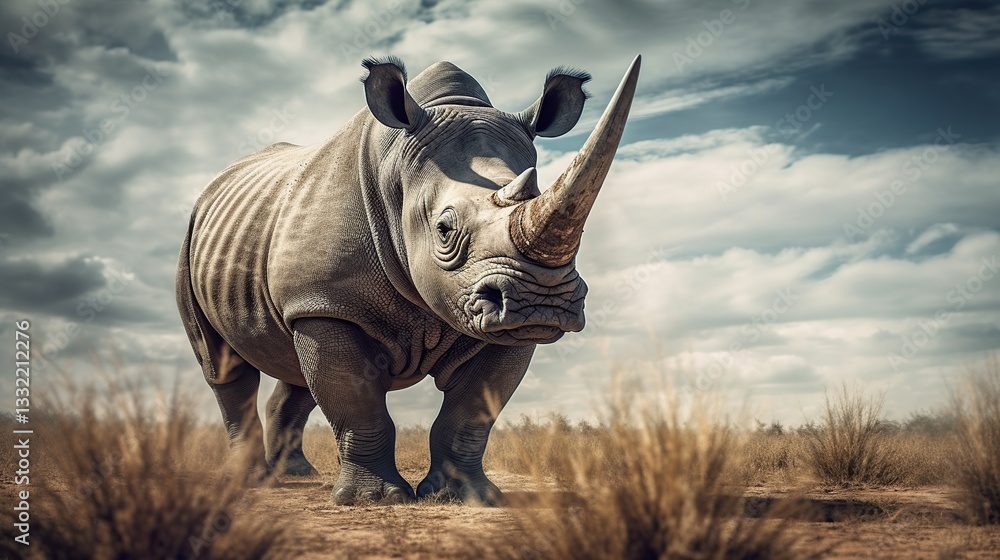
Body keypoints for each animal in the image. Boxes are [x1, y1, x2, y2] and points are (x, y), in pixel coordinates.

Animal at [175, 55, 641, 505]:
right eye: (444, 229)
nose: (542, 302)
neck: (398, 172)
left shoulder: (502, 326)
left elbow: (471, 413)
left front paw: (466, 497)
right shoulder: (328, 301)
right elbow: (357, 404)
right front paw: (374, 500)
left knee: (295, 369)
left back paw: (293, 475)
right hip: (196, 243)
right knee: (224, 366)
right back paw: (249, 479)